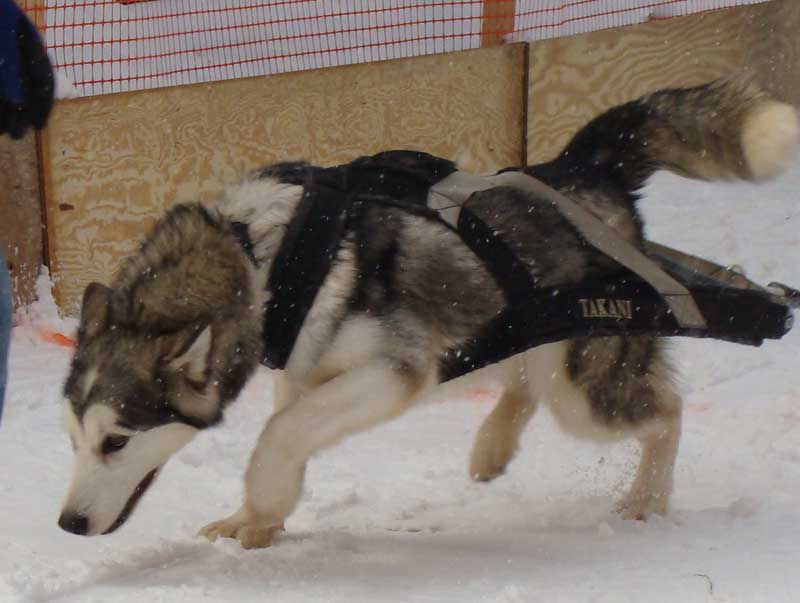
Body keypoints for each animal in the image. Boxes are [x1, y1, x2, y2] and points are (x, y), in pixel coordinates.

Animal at [59, 79, 796, 548]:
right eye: (73, 438)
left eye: (115, 441)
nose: (66, 524)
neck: (257, 256)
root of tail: (582, 168)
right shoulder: (305, 372)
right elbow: (290, 429)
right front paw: (257, 517)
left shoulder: (393, 372)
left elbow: (277, 434)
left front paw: (261, 500)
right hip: (534, 338)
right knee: (524, 376)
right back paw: (493, 442)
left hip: (585, 388)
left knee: (665, 413)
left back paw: (645, 500)